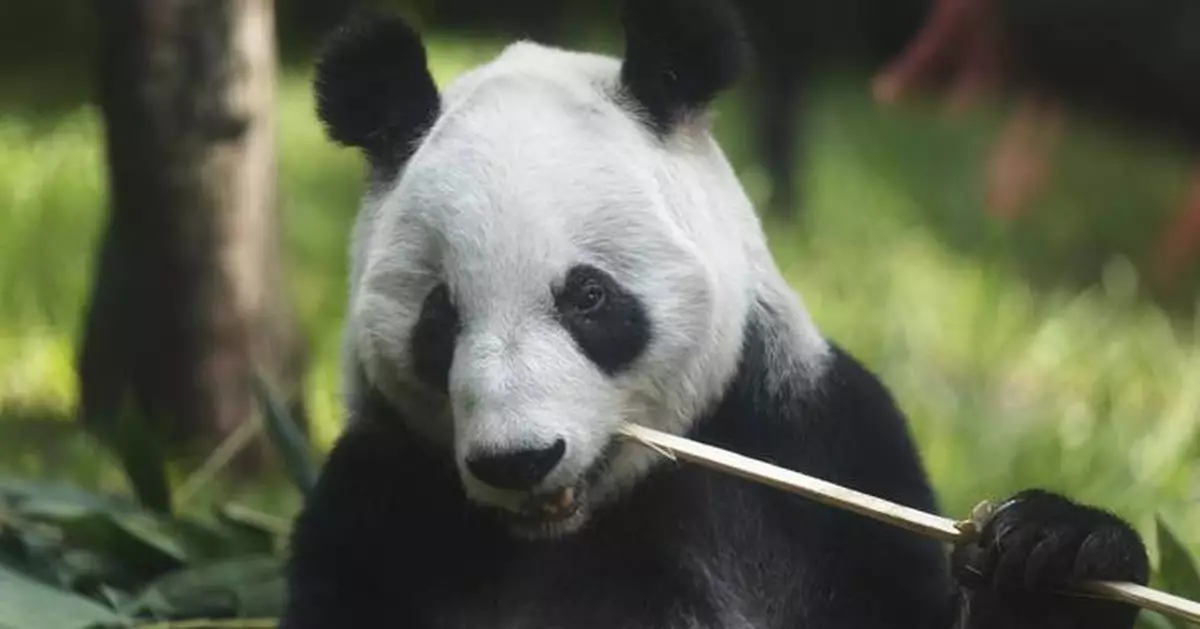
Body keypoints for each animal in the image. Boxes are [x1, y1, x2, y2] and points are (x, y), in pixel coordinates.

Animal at [280, 1, 1151, 628]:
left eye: (588, 297)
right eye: (441, 318)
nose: (518, 459)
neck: (580, 522)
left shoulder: (811, 452)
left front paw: (1056, 559)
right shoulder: (379, 504)